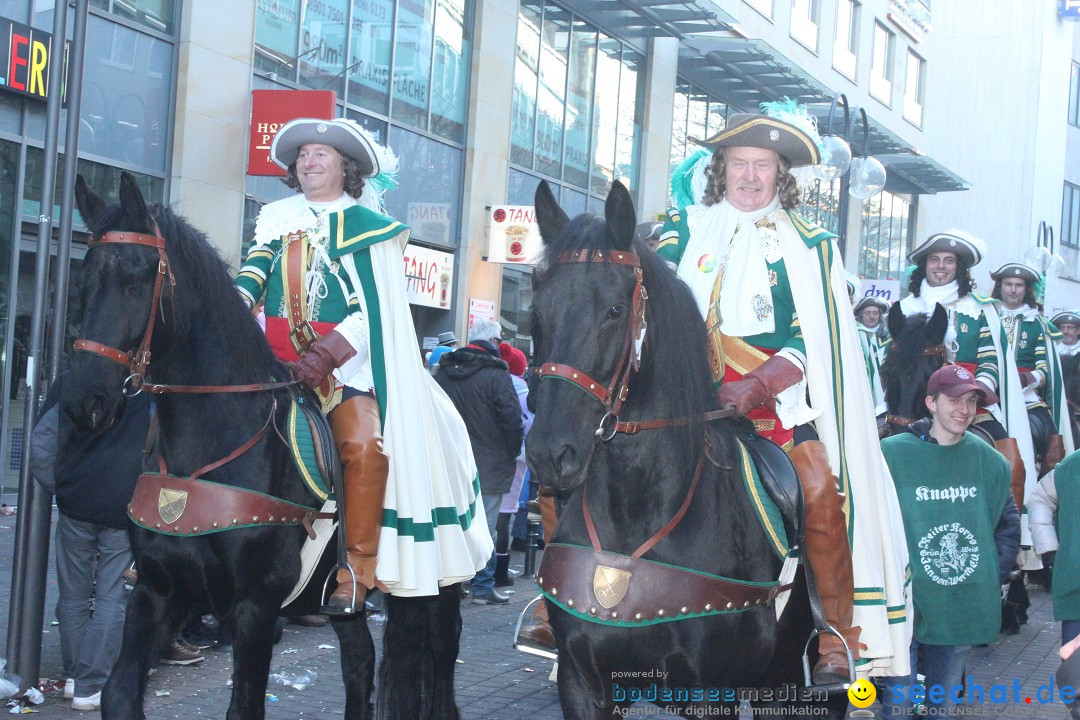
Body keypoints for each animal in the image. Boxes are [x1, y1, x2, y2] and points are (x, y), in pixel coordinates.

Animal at [63, 174, 460, 720]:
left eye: (135, 280)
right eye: (82, 280)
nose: (85, 402)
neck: (206, 455)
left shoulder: (255, 608)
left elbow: (244, 706)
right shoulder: (159, 590)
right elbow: (119, 693)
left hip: (439, 583)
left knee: (438, 663)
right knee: (360, 662)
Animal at [522, 183, 833, 720]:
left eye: (615, 310)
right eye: (536, 312)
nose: (549, 453)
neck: (637, 511)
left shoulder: (709, 695)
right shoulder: (583, 684)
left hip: (788, 682)